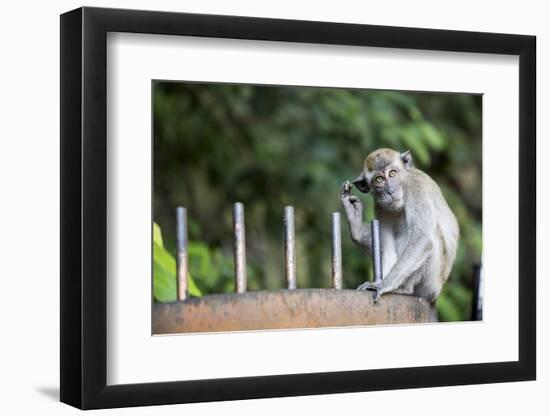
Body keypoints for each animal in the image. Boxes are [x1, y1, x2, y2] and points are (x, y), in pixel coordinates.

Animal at [342, 148, 460, 304]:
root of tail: (436, 294)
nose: (390, 191)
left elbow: (423, 240)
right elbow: (387, 247)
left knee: (431, 239)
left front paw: (383, 284)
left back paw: (404, 289)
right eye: (379, 179)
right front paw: (355, 223)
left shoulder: (416, 189)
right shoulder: (380, 207)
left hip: (431, 283)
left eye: (392, 173)